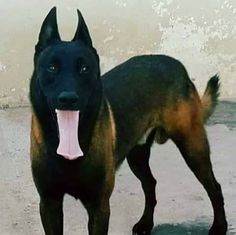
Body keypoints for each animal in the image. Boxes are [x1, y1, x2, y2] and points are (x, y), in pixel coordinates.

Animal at [29, 6, 227, 235]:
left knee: (214, 187)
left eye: (84, 69)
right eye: (51, 68)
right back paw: (146, 223)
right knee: (150, 184)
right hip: (137, 157)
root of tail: (178, 65)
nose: (68, 99)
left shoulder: (99, 207)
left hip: (193, 148)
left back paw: (219, 226)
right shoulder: (49, 204)